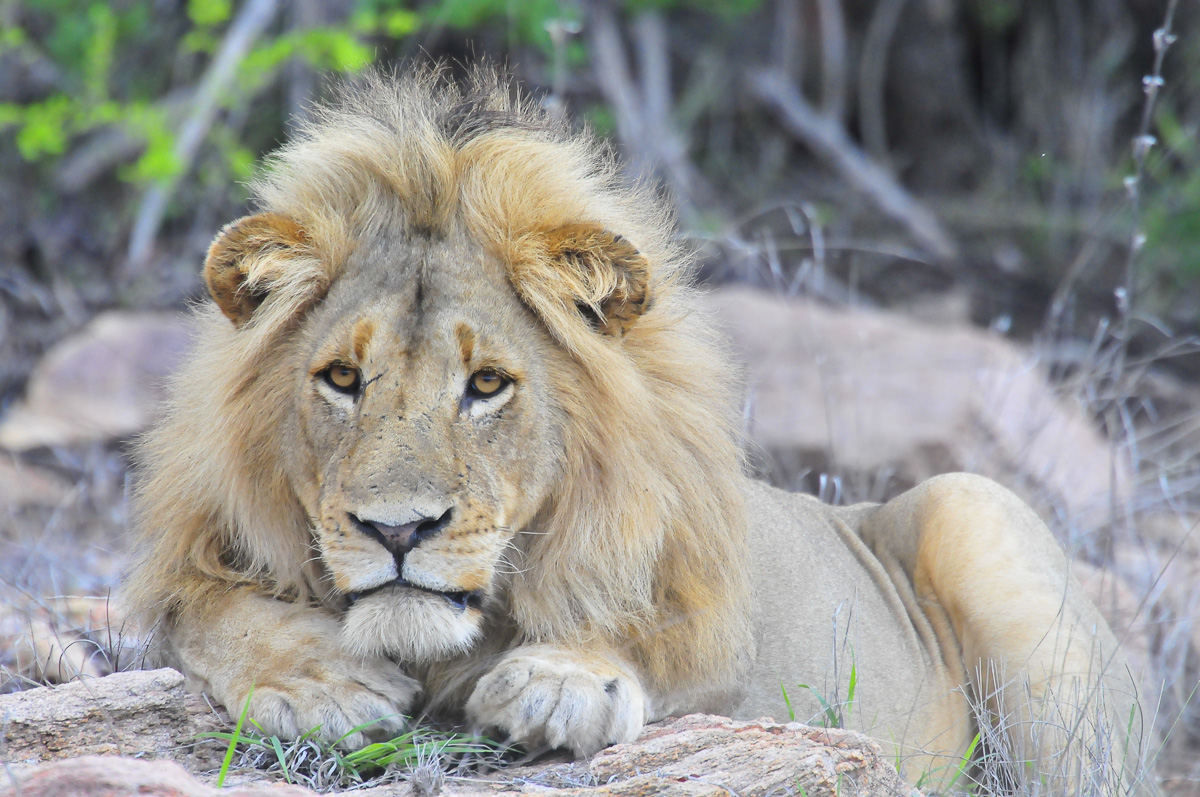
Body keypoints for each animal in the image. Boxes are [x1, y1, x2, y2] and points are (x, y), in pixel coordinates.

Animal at [122, 68, 1159, 794]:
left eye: (487, 385)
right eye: (343, 378)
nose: (398, 529)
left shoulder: (727, 637)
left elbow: (650, 628)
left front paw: (560, 681)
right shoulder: (191, 563)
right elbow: (197, 609)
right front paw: (321, 681)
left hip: (974, 509)